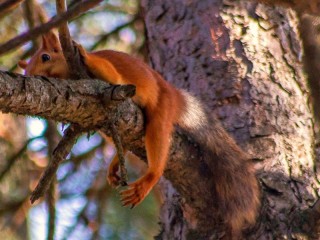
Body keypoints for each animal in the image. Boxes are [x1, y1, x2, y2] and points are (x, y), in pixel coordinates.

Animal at [18, 31, 260, 235]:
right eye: (26, 69)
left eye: (45, 57)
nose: (31, 76)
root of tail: (173, 93)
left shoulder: (110, 77)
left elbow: (111, 76)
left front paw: (84, 52)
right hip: (105, 125)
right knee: (121, 141)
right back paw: (117, 161)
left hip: (161, 113)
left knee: (158, 148)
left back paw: (149, 178)